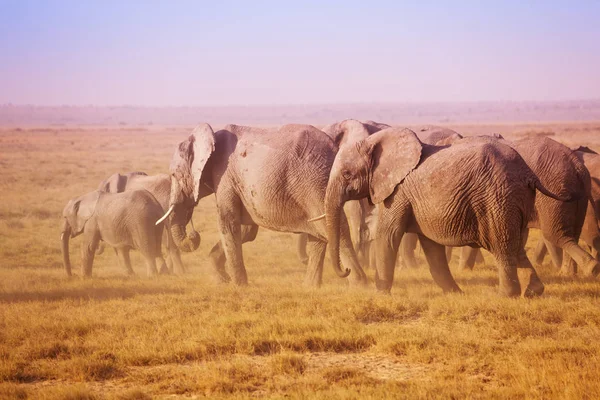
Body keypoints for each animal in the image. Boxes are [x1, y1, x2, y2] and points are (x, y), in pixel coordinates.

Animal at [159, 123, 366, 286]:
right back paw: (310, 287)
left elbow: (228, 223)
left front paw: (238, 286)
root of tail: (334, 147)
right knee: (320, 231)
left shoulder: (224, 176)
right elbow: (246, 230)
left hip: (314, 181)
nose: (193, 236)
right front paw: (221, 280)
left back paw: (359, 285)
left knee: (335, 228)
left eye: (173, 175)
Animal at [326, 128, 576, 296]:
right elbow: (431, 246)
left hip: (497, 196)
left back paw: (505, 295)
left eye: (347, 174)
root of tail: (528, 171)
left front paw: (380, 295)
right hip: (515, 199)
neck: (373, 141)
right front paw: (455, 294)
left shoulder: (397, 192)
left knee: (502, 244)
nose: (345, 270)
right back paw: (534, 291)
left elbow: (388, 235)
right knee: (515, 243)